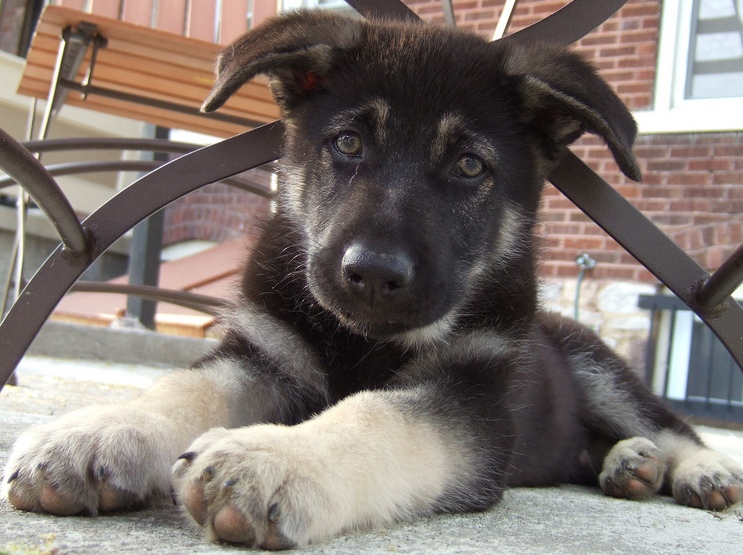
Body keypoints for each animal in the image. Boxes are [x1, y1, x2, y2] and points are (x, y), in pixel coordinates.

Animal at [5, 8, 743, 552]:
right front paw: (97, 431)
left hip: (596, 366)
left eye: (470, 166)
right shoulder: (264, 353)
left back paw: (695, 467)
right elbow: (185, 387)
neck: (358, 338)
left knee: (668, 423)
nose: (371, 274)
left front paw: (275, 456)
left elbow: (376, 414)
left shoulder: (469, 400)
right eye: (349, 143)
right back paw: (628, 464)